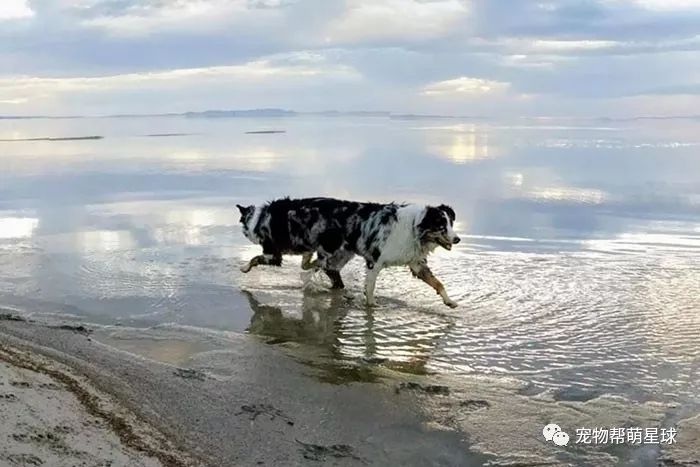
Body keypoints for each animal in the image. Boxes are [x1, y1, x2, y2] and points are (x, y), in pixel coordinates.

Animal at [238, 197, 462, 308]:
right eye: (441, 226)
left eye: (451, 223)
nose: (457, 239)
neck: (415, 228)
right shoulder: (375, 261)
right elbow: (370, 288)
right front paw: (371, 306)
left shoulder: (416, 263)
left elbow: (438, 283)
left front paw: (449, 301)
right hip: (334, 250)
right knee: (321, 267)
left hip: (340, 253)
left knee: (326, 270)